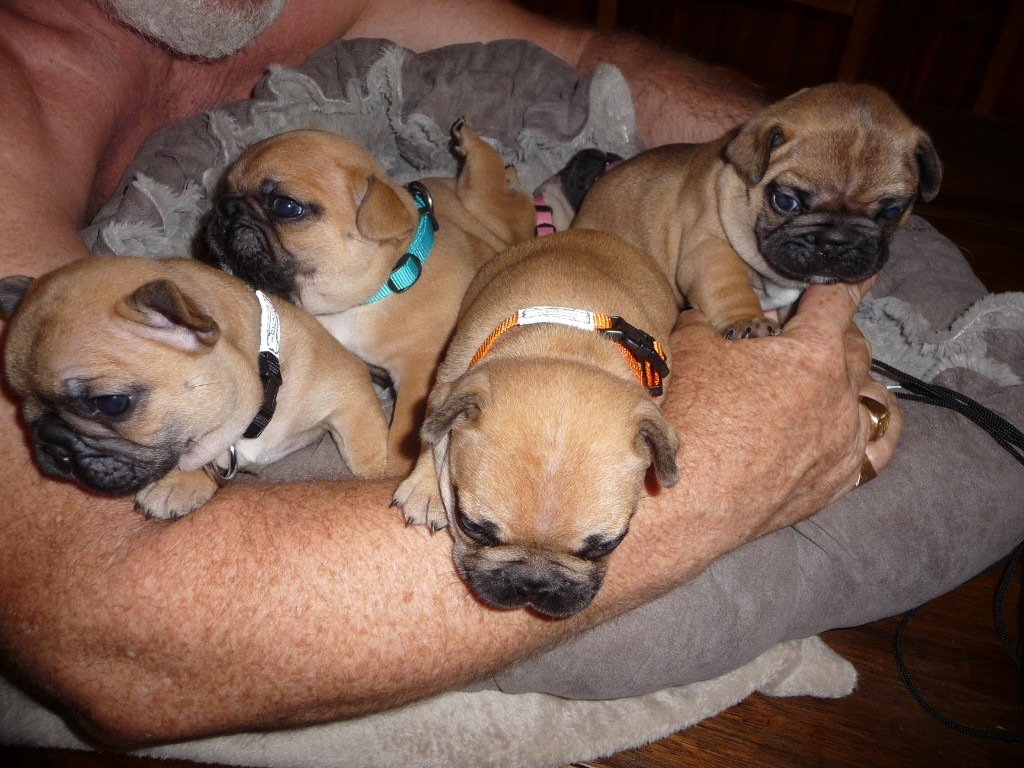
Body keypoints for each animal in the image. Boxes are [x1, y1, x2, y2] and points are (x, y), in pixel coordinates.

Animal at [0, 256, 391, 520]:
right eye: (19, 401)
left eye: (112, 403)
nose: (53, 444)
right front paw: (179, 483)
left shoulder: (348, 389)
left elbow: (366, 452)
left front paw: (382, 475)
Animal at [201, 118, 536, 475]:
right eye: (224, 192)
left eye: (286, 206)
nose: (224, 208)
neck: (381, 287)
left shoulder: (418, 371)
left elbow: (403, 428)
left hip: (484, 203)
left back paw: (472, 142)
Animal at [391, 228, 679, 618]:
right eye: (472, 527)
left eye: (605, 545)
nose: (534, 583)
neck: (566, 346)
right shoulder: (451, 380)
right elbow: (432, 435)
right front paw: (425, 488)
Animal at [573, 82, 937, 337]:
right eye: (786, 201)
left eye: (892, 213)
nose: (836, 241)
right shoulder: (710, 248)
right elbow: (728, 285)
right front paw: (749, 321)